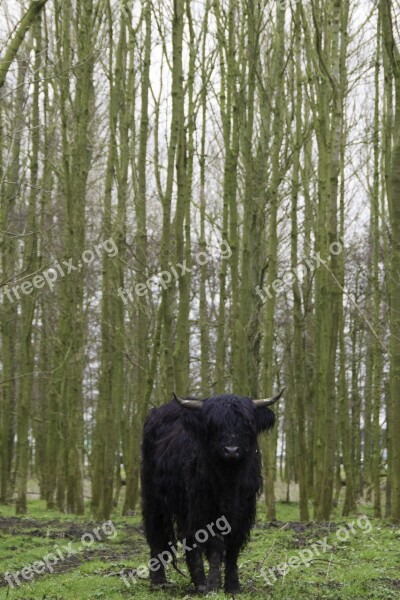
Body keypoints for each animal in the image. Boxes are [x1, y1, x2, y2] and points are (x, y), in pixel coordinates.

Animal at [141, 386, 284, 592]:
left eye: (247, 423)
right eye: (214, 425)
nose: (231, 450)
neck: (229, 480)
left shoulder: (243, 511)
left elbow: (233, 547)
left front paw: (232, 586)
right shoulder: (207, 509)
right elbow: (215, 545)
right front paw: (213, 585)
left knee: (187, 538)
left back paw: (198, 581)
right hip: (155, 496)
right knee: (157, 532)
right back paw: (161, 581)